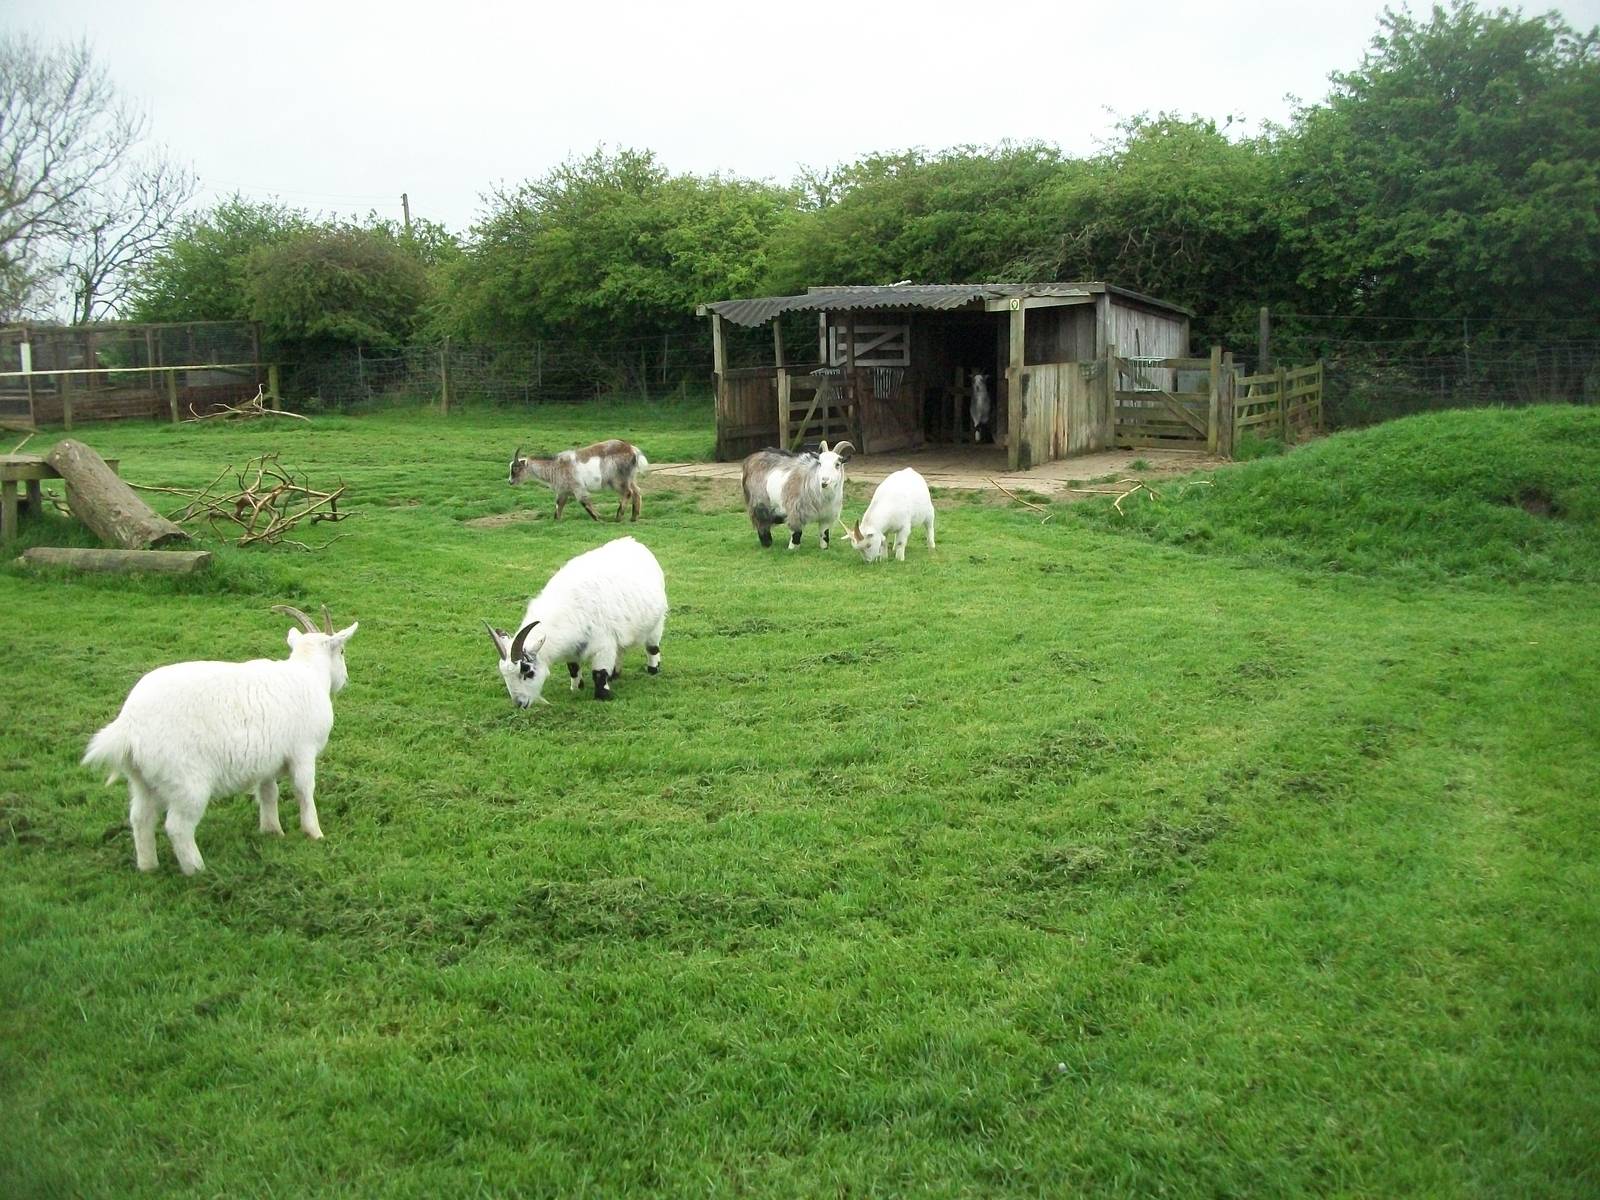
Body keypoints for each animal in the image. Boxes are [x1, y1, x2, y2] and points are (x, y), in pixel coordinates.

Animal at [82, 605, 357, 875]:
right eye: (342, 651)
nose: (345, 680)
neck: (308, 673)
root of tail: (128, 725)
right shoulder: (303, 751)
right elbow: (304, 790)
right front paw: (314, 833)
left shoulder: (267, 760)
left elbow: (269, 792)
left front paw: (272, 830)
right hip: (187, 782)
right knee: (178, 827)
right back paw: (197, 870)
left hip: (142, 780)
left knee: (140, 818)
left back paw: (148, 867)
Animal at [484, 535, 667, 705]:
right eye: (504, 674)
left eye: (527, 671)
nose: (520, 703)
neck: (569, 610)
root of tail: (633, 542)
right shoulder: (573, 648)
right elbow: (573, 668)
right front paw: (576, 688)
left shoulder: (603, 645)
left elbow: (599, 673)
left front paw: (603, 695)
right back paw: (615, 674)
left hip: (657, 623)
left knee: (652, 648)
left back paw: (652, 670)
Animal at [509, 439, 649, 521]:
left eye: (515, 468)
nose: (510, 482)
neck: (555, 466)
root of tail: (632, 449)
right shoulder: (563, 490)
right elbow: (559, 505)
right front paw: (557, 520)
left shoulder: (577, 487)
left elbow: (584, 502)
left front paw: (598, 518)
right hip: (630, 477)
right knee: (637, 491)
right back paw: (634, 517)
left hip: (617, 479)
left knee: (628, 492)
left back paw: (618, 516)